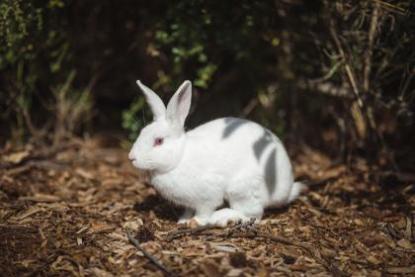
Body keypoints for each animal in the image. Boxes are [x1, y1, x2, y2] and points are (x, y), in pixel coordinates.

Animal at [129, 80, 306, 226]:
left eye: (159, 141)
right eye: (142, 132)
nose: (131, 158)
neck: (179, 159)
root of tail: (286, 190)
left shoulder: (207, 196)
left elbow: (204, 211)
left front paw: (195, 222)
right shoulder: (189, 203)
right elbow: (188, 210)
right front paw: (183, 220)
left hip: (242, 189)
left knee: (253, 214)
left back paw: (222, 218)